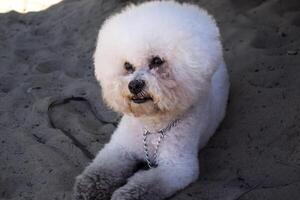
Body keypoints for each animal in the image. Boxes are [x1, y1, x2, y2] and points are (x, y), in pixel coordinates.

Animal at [74, 0, 229, 199]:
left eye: (157, 61)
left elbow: (144, 185)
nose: (134, 86)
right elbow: (100, 171)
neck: (152, 124)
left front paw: (124, 194)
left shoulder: (177, 168)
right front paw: (88, 188)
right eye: (127, 66)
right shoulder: (119, 149)